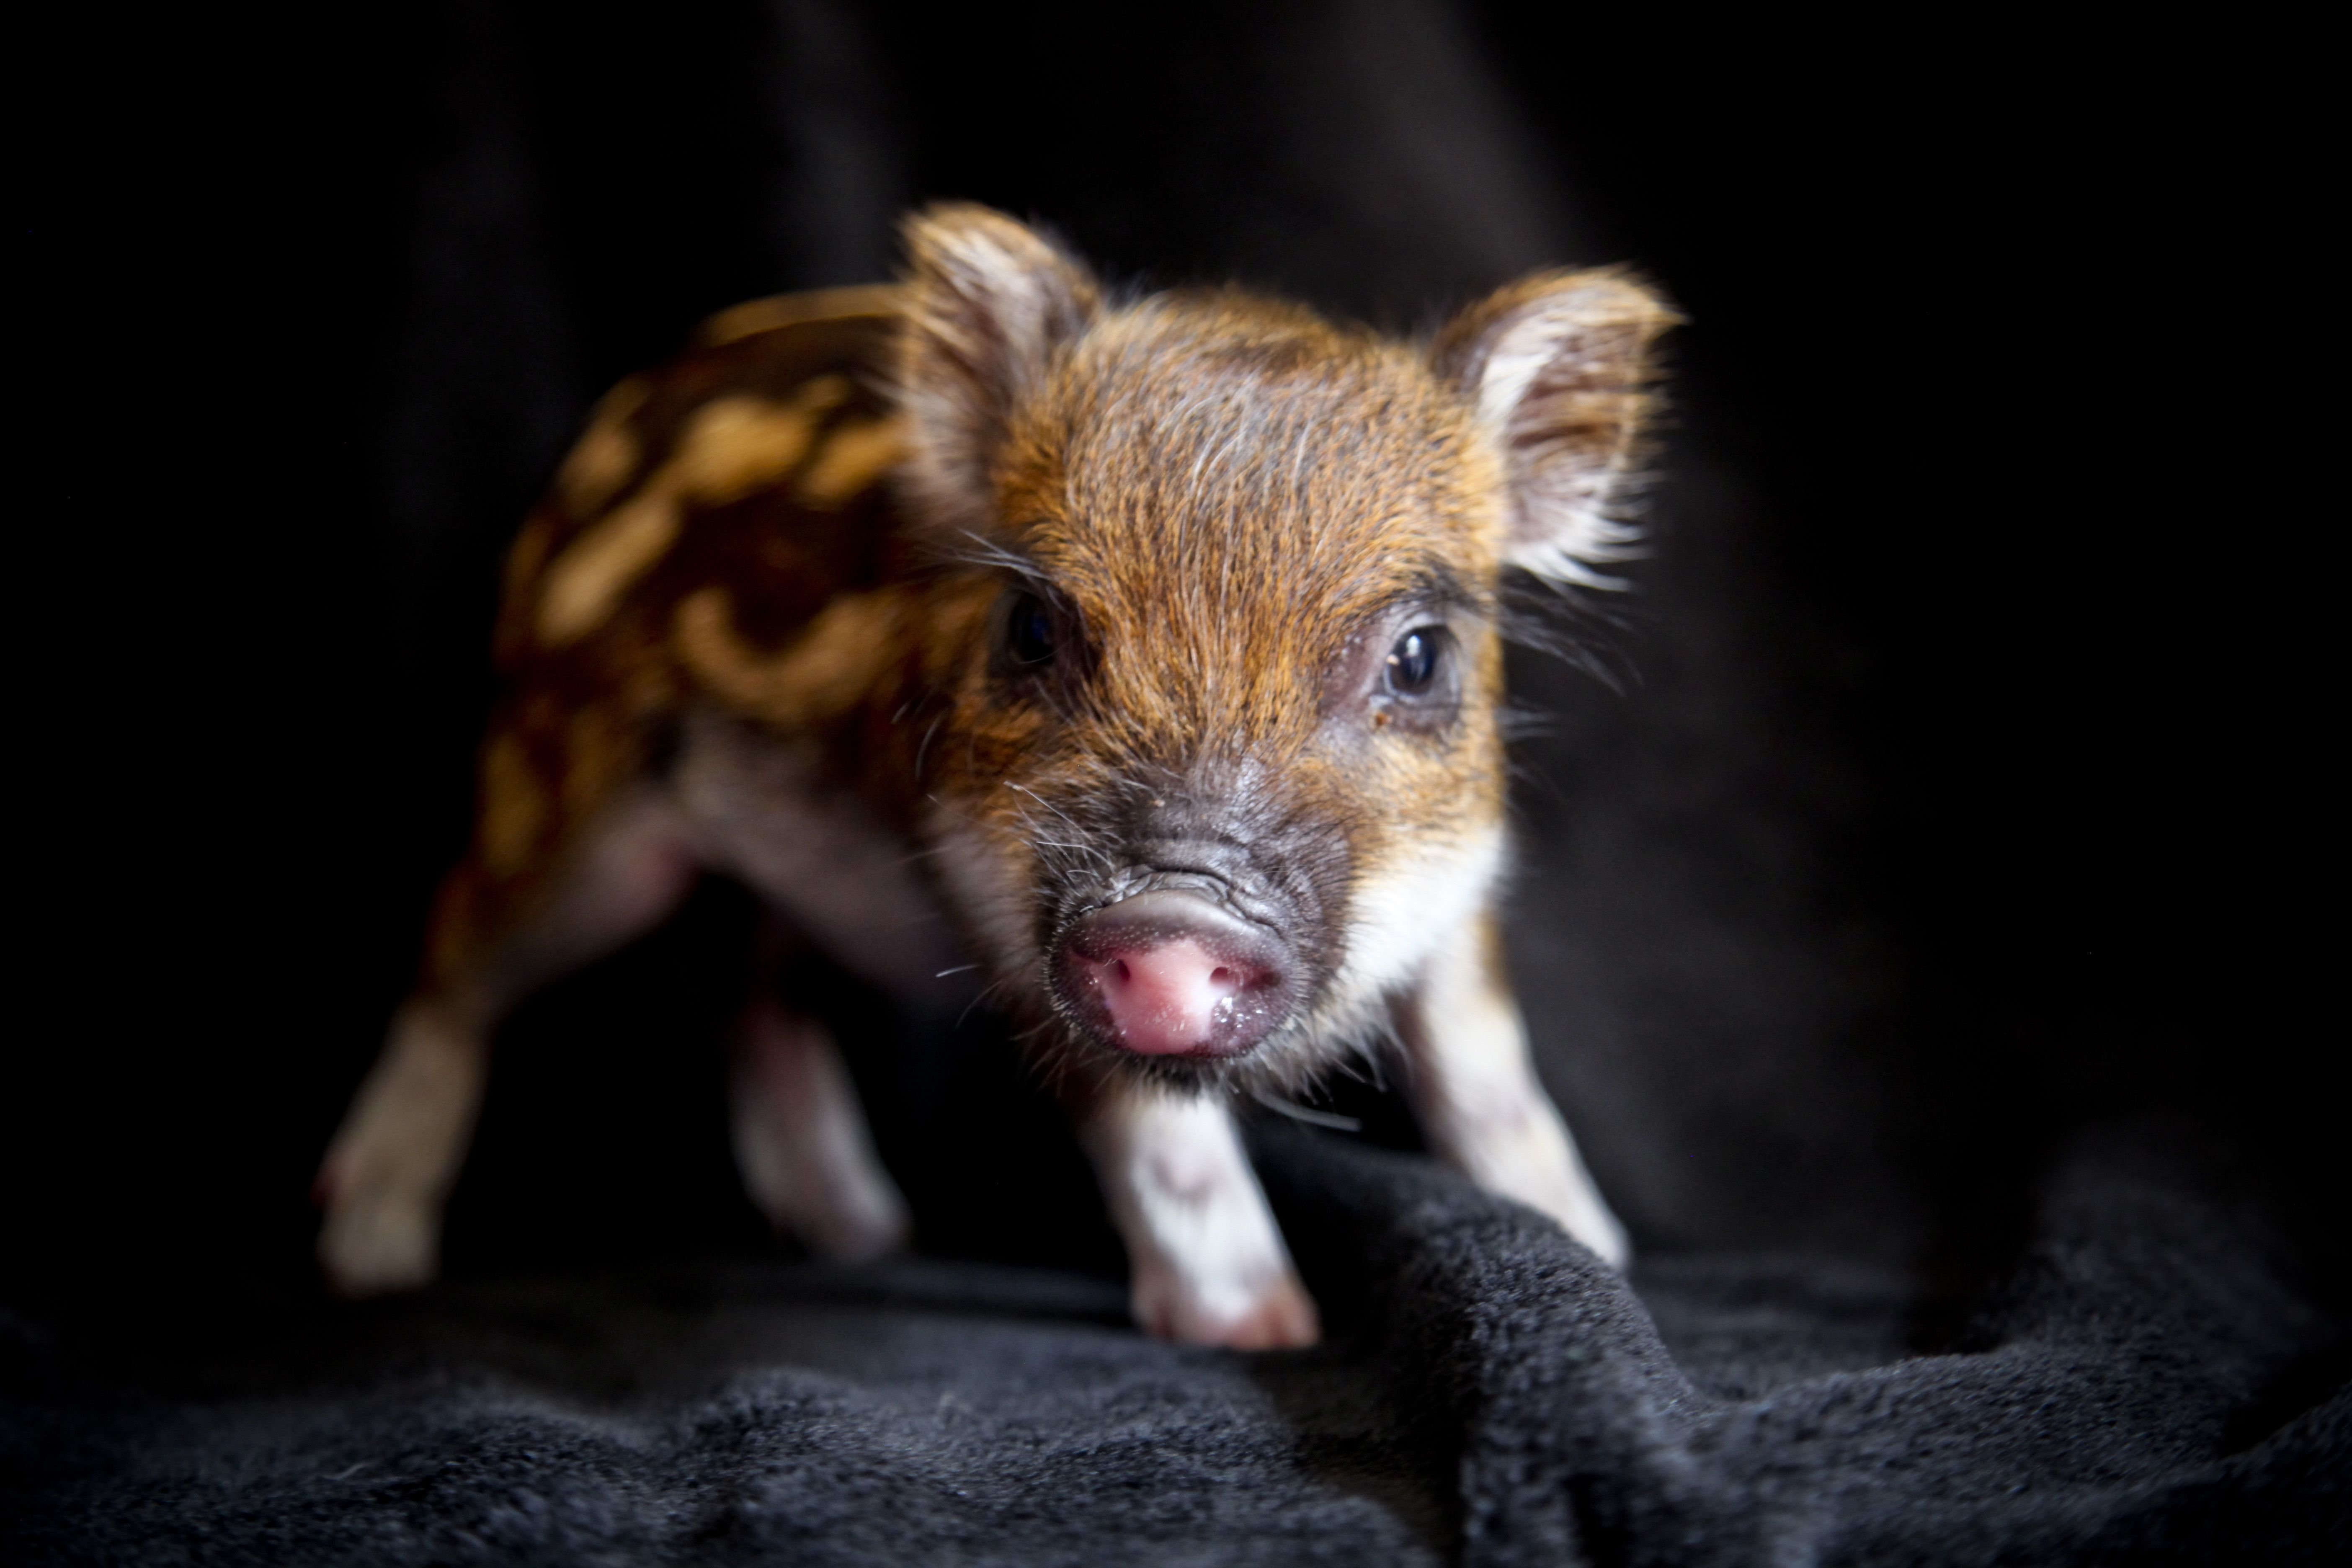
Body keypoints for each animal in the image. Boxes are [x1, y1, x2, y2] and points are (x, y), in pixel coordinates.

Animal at [316, 203, 1674, 1349]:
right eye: (1031, 627)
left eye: (1419, 653)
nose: (1175, 920)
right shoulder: (1005, 912)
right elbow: (1162, 1140)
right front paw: (1267, 1337)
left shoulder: (1463, 880)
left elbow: (1489, 1073)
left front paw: (1596, 1249)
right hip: (570, 800)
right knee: (458, 950)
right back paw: (370, 1256)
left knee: (746, 984)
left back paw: (864, 1232)